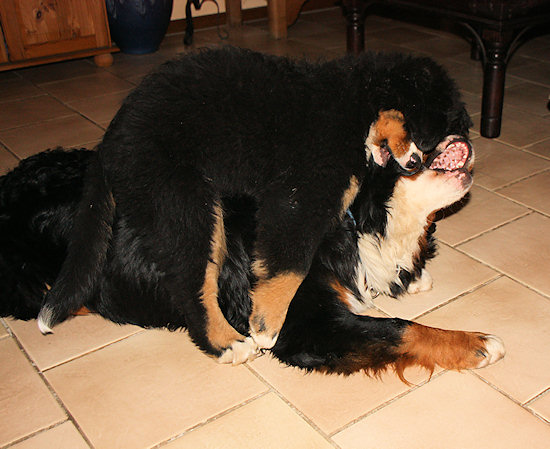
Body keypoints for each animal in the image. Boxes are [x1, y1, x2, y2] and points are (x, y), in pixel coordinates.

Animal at [0, 47, 505, 377]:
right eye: (446, 121)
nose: (467, 133)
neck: (359, 222)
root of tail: (109, 144)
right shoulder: (310, 307)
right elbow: (400, 330)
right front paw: (476, 343)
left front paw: (413, 279)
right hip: (190, 207)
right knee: (189, 286)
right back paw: (228, 344)